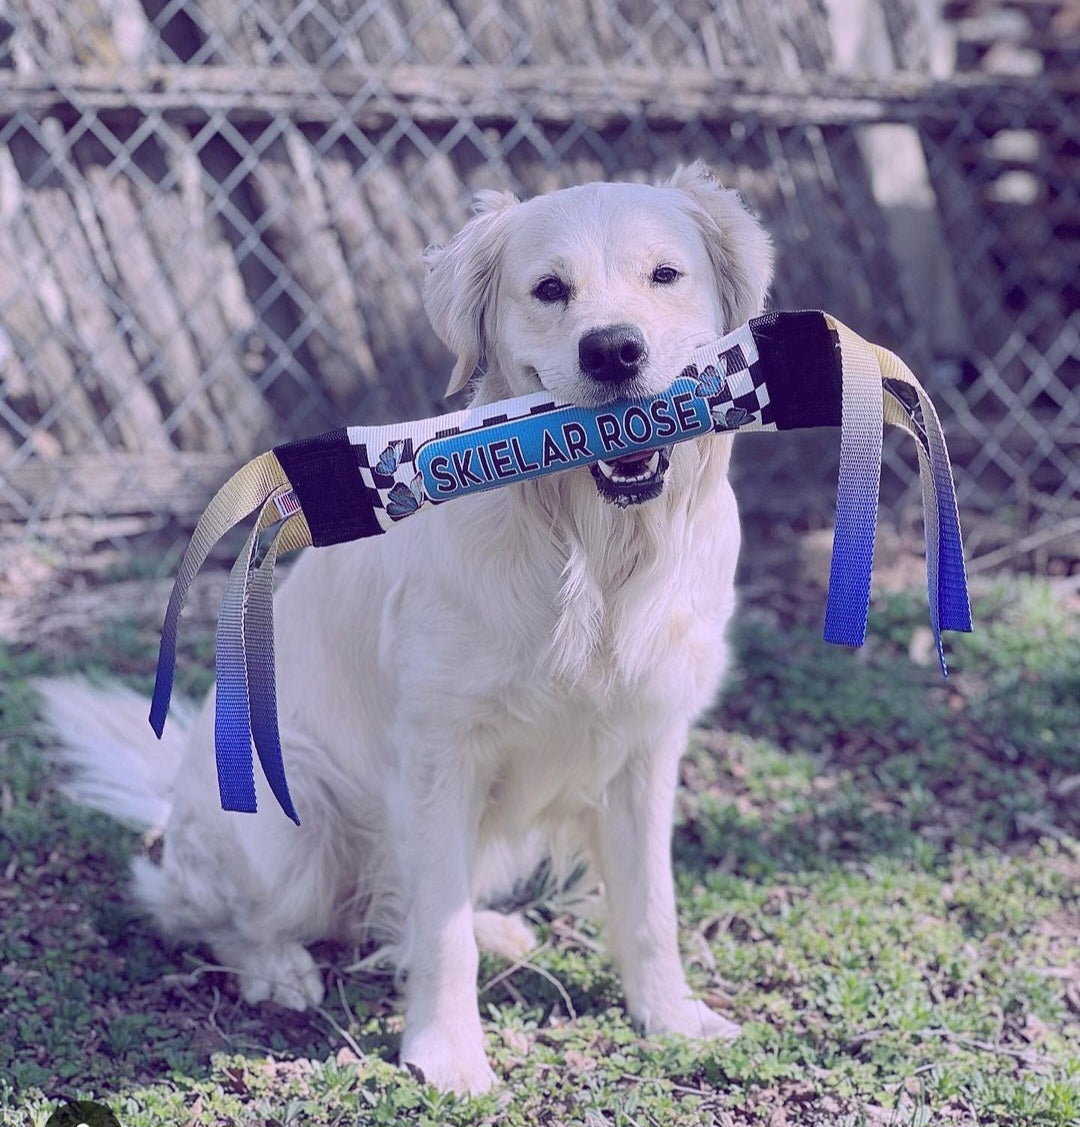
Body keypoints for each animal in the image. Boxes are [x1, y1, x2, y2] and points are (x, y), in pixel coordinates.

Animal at [40, 163, 771, 1095]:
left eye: (665, 275)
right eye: (550, 289)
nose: (613, 350)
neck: (591, 550)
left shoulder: (645, 746)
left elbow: (650, 904)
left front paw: (670, 1015)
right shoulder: (436, 753)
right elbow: (440, 932)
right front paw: (447, 1050)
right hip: (290, 823)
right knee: (199, 908)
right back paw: (276, 967)